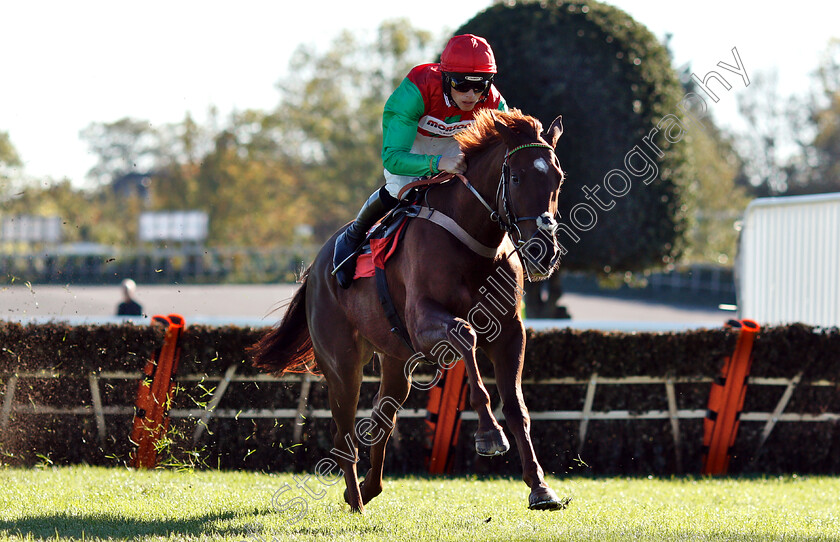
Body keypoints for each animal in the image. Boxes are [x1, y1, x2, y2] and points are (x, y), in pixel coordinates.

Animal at [249, 108, 564, 516]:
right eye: (517, 176)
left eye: (558, 178)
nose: (545, 251)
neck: (471, 240)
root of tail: (315, 270)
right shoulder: (424, 323)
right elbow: (466, 334)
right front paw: (489, 435)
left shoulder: (510, 331)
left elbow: (516, 405)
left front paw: (540, 488)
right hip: (341, 363)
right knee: (344, 431)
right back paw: (357, 502)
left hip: (396, 361)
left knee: (382, 417)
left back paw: (367, 489)